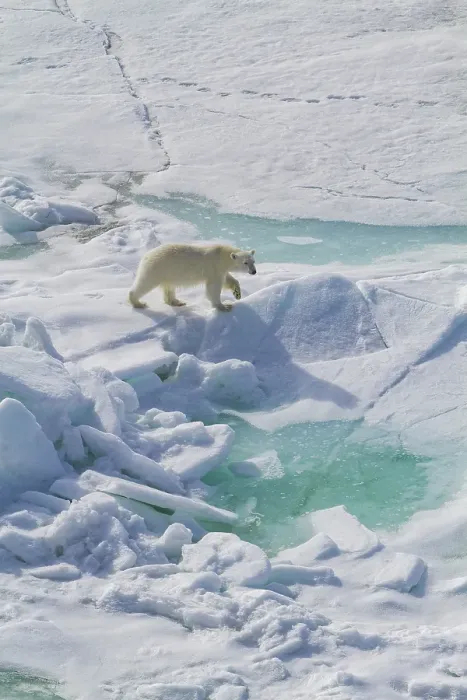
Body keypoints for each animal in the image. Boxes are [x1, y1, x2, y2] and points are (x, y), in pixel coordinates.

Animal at [128, 243, 257, 312]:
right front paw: (224, 306)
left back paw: (177, 302)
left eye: (253, 261)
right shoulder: (214, 268)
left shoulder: (220, 270)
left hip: (168, 272)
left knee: (169, 287)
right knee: (145, 283)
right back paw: (138, 303)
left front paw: (237, 293)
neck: (222, 255)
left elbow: (228, 279)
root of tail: (146, 256)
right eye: (245, 263)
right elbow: (213, 288)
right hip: (157, 268)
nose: (254, 271)